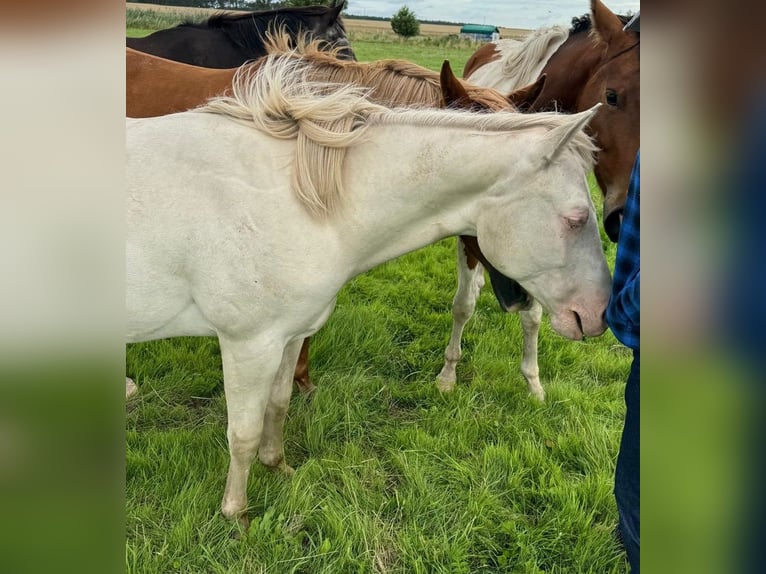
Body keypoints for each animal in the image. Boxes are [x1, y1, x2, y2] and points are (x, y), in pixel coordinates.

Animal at [129, 53, 616, 528]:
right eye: (576, 218)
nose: (597, 315)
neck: (299, 199)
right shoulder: (248, 345)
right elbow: (242, 434)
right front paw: (237, 513)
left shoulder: (288, 336)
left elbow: (279, 405)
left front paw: (279, 466)